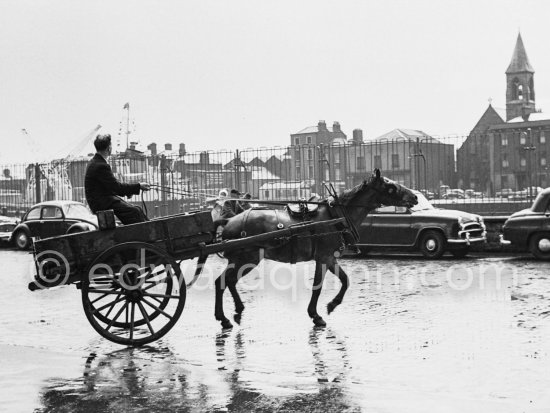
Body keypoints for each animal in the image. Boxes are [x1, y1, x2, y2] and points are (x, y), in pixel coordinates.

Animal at [216, 169, 418, 326]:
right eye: (390, 187)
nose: (415, 196)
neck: (335, 216)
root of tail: (229, 221)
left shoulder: (330, 258)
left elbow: (345, 280)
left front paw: (330, 305)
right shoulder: (324, 257)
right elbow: (318, 286)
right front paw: (317, 313)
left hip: (243, 259)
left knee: (228, 281)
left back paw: (236, 311)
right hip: (247, 258)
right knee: (223, 282)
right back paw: (224, 317)